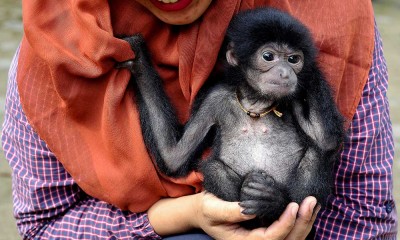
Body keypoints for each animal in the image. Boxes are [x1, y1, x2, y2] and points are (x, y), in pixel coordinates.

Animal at [118, 7, 344, 227]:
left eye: (293, 59)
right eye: (268, 56)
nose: (286, 73)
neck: (257, 103)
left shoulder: (291, 99)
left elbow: (326, 141)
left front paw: (312, 68)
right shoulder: (214, 99)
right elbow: (173, 157)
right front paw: (138, 59)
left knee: (315, 156)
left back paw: (272, 201)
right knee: (214, 167)